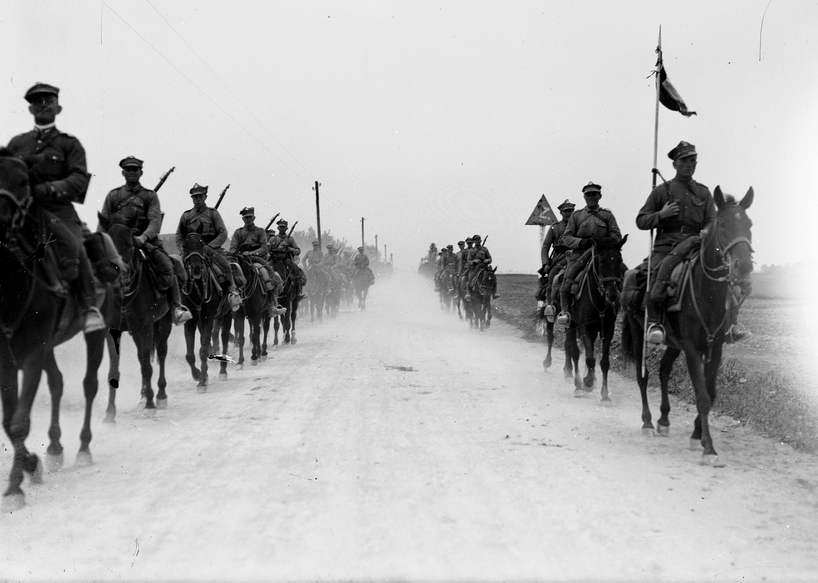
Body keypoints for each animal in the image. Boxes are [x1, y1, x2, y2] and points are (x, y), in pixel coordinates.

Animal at [0, 152, 110, 512]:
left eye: (24, 181)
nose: (0, 220)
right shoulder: (6, 358)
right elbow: (9, 421)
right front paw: (30, 467)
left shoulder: (34, 352)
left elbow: (19, 421)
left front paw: (17, 484)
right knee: (58, 383)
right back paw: (54, 448)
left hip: (96, 332)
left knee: (89, 385)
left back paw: (83, 447)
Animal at [99, 219, 175, 420]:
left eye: (129, 244)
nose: (118, 271)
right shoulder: (113, 330)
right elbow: (114, 368)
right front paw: (110, 412)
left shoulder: (145, 327)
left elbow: (147, 366)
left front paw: (150, 405)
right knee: (143, 357)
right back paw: (143, 396)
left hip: (163, 323)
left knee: (161, 353)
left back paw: (160, 395)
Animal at [181, 230, 233, 390]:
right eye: (185, 245)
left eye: (202, 243)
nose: (196, 267)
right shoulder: (190, 320)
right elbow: (190, 354)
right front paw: (197, 374)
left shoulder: (208, 317)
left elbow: (203, 350)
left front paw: (202, 381)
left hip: (227, 313)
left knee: (224, 339)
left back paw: (223, 371)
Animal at [560, 236, 624, 402]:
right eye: (601, 261)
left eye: (619, 260)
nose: (612, 295)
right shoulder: (586, 327)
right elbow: (589, 358)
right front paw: (587, 383)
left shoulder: (607, 328)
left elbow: (604, 362)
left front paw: (605, 396)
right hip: (571, 324)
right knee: (575, 352)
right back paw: (578, 386)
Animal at [620, 187, 752, 466]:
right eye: (723, 224)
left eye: (749, 224)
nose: (744, 266)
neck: (708, 291)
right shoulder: (692, 348)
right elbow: (701, 396)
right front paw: (708, 447)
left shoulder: (715, 348)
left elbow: (710, 393)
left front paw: (696, 434)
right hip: (639, 334)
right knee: (642, 376)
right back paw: (648, 422)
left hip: (674, 343)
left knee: (663, 370)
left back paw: (664, 419)